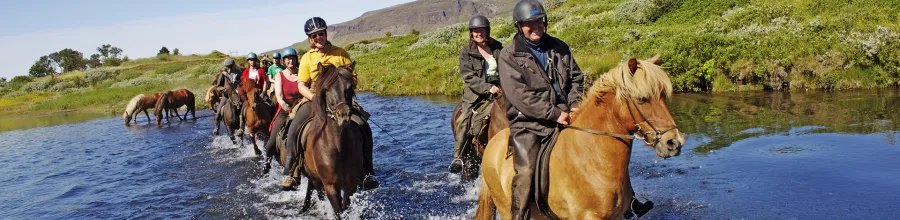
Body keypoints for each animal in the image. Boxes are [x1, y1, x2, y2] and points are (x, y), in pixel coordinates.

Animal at [298, 63, 370, 218]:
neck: (339, 147)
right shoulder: (330, 186)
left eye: (350, 87)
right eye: (327, 89)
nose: (343, 114)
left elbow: (345, 206)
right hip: (315, 179)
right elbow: (338, 211)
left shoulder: (351, 184)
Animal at [474, 57, 684, 220]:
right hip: (505, 207)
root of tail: (492, 144)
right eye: (642, 99)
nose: (674, 142)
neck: (592, 157)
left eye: (662, 95)